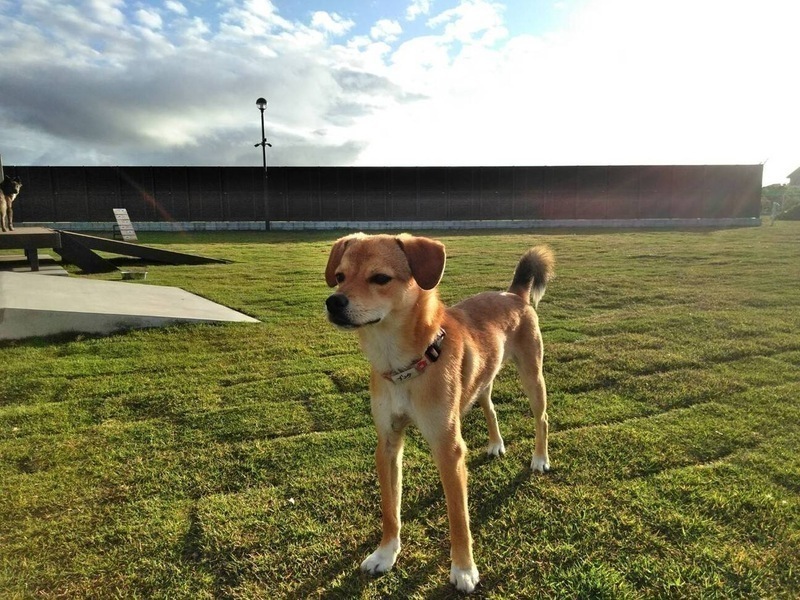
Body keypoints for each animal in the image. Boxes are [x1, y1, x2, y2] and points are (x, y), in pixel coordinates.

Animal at [325, 233, 554, 593]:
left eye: (380, 278)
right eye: (339, 276)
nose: (333, 302)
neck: (403, 365)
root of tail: (513, 293)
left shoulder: (448, 449)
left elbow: (458, 518)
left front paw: (463, 569)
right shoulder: (388, 443)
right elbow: (390, 508)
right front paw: (386, 553)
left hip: (532, 375)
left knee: (541, 418)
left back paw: (540, 459)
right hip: (482, 380)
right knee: (490, 406)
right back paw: (495, 443)